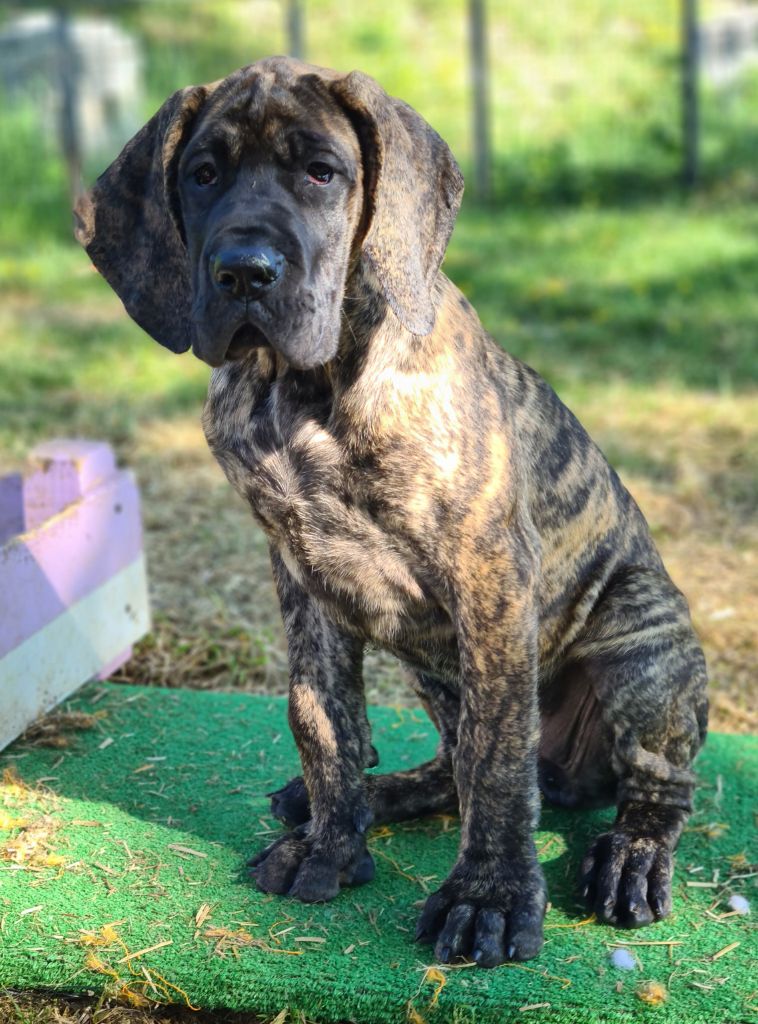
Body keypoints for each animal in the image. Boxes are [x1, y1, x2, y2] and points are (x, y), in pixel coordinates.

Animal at [74, 57, 708, 967]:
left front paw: (489, 897)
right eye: (202, 176)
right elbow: (321, 717)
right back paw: (372, 796)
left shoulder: (489, 575)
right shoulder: (300, 569)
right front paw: (331, 840)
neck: (302, 386)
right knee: (461, 762)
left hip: (639, 638)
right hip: (433, 663)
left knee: (639, 781)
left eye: (321, 172)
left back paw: (631, 853)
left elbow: (498, 762)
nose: (243, 271)